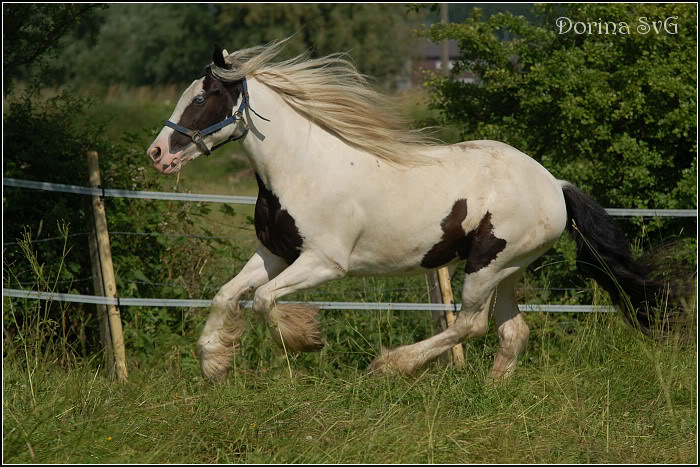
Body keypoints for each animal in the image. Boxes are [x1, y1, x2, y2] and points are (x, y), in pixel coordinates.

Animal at [146, 39, 680, 384]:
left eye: (202, 96)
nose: (157, 154)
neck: (301, 168)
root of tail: (555, 185)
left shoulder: (324, 262)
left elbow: (263, 301)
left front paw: (305, 341)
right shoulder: (275, 253)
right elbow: (226, 295)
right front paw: (214, 363)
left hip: (486, 265)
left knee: (470, 325)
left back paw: (391, 366)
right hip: (507, 269)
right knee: (512, 331)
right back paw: (491, 390)